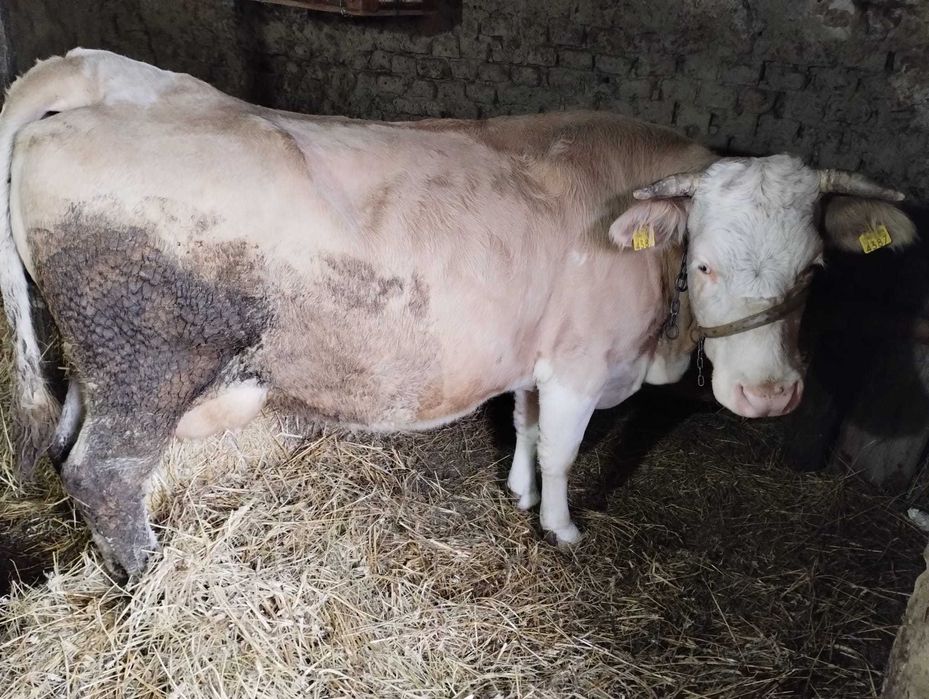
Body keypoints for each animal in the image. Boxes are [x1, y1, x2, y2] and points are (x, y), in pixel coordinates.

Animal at [0, 49, 916, 577]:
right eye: (704, 262)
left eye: (814, 268)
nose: (767, 396)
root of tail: (110, 77)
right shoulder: (580, 364)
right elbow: (561, 448)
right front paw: (559, 528)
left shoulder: (535, 351)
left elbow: (522, 423)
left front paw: (514, 492)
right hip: (149, 361)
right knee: (105, 471)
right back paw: (146, 577)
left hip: (99, 362)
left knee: (68, 444)